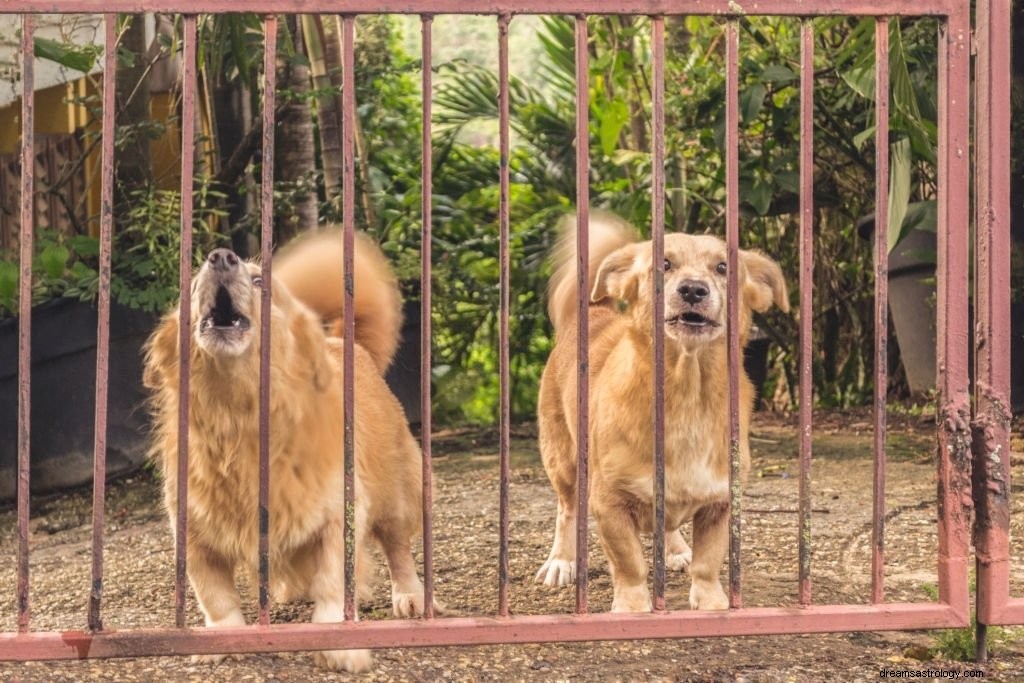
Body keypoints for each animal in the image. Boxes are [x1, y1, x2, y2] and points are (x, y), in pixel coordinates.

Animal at [142, 229, 434, 671]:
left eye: (260, 280)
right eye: (192, 287)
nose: (220, 256)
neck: (239, 417)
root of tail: (345, 341)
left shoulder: (338, 519)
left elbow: (332, 583)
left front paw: (339, 645)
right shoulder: (192, 534)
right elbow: (216, 598)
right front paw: (223, 640)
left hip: (396, 499)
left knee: (397, 550)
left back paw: (410, 596)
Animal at [532, 215, 786, 614]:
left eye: (723, 267)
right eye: (662, 264)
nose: (694, 289)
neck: (687, 394)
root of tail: (593, 310)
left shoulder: (720, 503)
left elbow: (708, 562)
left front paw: (711, 603)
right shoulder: (609, 505)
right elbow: (630, 563)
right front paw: (633, 607)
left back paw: (677, 548)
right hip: (564, 463)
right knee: (567, 511)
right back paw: (562, 561)